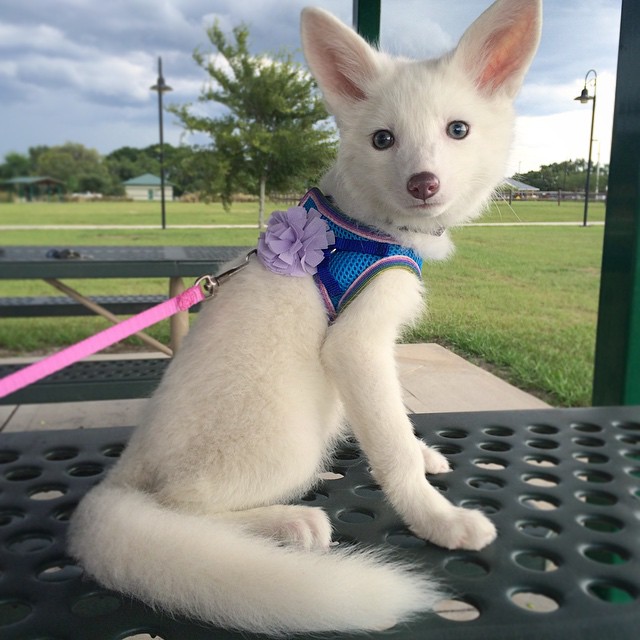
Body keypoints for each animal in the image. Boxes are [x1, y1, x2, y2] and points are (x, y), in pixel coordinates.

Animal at [68, 0, 542, 635]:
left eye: (458, 129)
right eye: (383, 139)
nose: (424, 184)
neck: (363, 225)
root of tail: (122, 474)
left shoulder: (377, 348)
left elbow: (394, 424)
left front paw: (423, 454)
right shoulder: (356, 346)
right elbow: (392, 452)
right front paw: (438, 520)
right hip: (288, 441)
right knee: (177, 509)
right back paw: (286, 524)